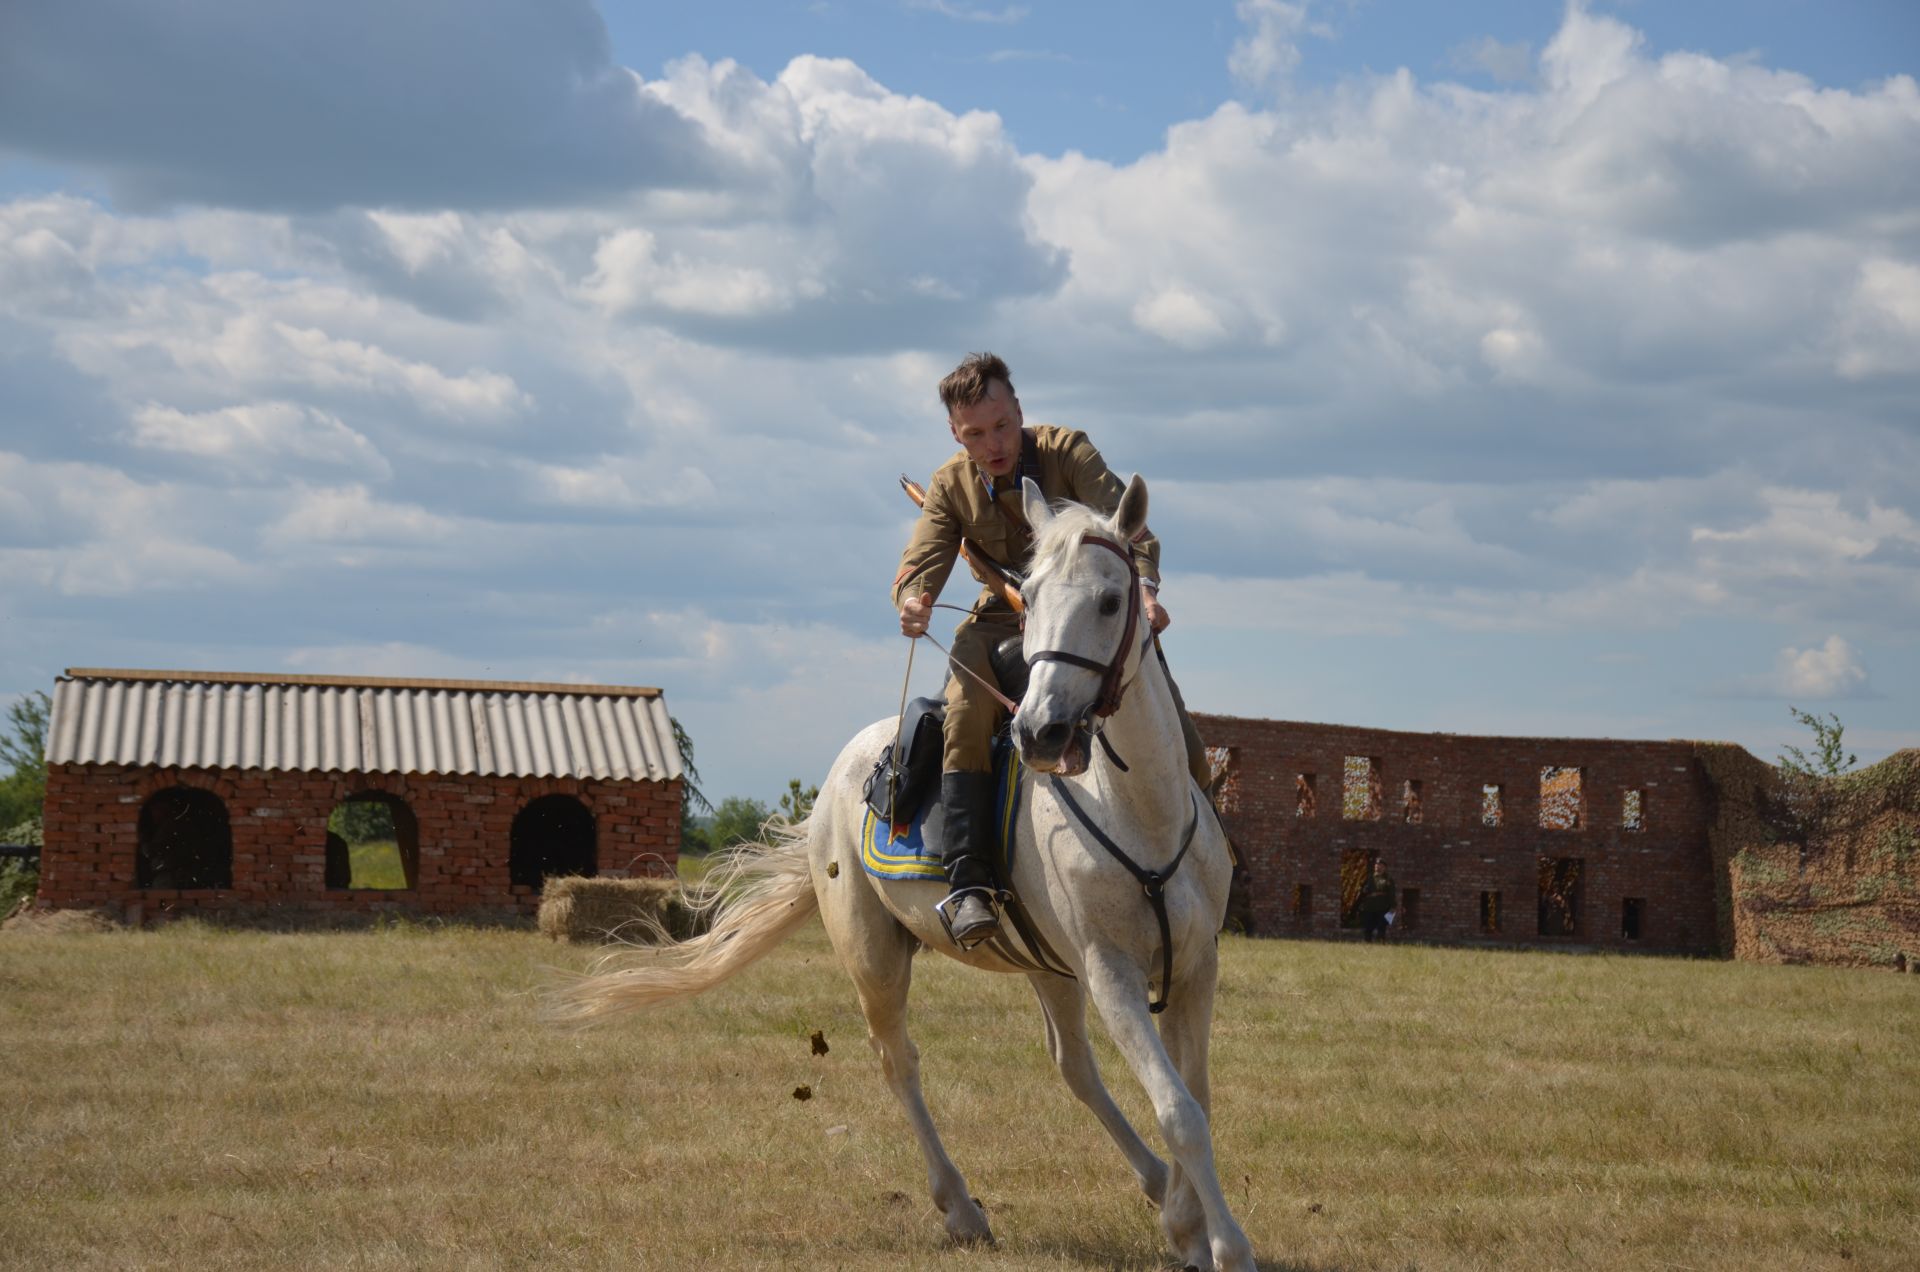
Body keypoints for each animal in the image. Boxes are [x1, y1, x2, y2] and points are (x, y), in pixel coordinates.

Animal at [552, 478, 1259, 1272]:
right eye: (1029, 593)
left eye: (1112, 600)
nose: (1039, 731)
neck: (1139, 811)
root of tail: (837, 779)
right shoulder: (1112, 974)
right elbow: (1179, 1110)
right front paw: (1224, 1244)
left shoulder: (1193, 967)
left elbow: (1195, 1096)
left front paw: (1187, 1224)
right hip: (877, 957)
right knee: (900, 1064)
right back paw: (961, 1208)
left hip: (1048, 965)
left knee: (1073, 1066)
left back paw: (1150, 1185)